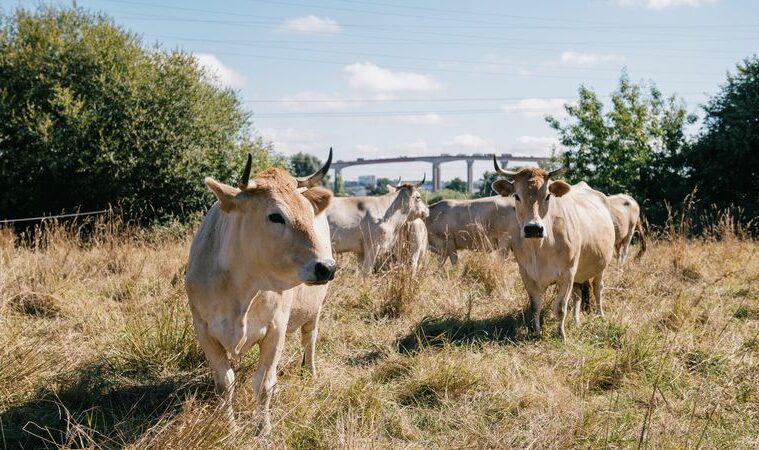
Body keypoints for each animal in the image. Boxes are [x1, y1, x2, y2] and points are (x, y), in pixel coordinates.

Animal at [184, 150, 336, 432]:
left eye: (308, 213)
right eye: (275, 216)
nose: (327, 267)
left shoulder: (275, 329)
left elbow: (264, 384)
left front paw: (263, 427)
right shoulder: (203, 329)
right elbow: (225, 383)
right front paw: (230, 428)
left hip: (315, 309)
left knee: (309, 338)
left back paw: (309, 372)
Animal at [492, 156, 616, 340]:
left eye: (548, 196)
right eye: (517, 196)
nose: (533, 228)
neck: (539, 248)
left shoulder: (567, 273)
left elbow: (560, 308)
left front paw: (561, 335)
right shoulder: (526, 274)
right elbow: (536, 305)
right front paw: (536, 332)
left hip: (601, 266)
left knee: (598, 289)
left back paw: (600, 316)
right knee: (578, 295)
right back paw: (576, 321)